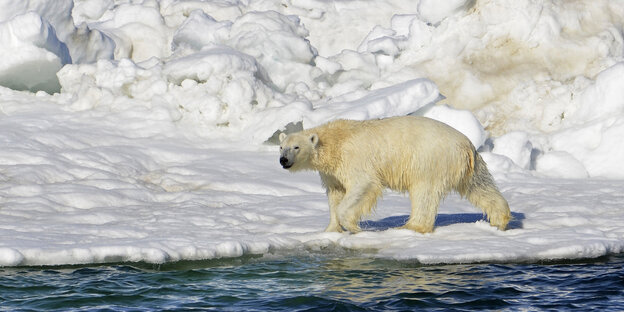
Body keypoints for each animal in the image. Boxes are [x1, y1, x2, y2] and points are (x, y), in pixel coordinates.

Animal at [280, 116, 510, 233]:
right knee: (480, 187)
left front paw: (353, 226)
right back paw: (500, 219)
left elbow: (363, 185)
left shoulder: (354, 159)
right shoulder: (332, 172)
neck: (335, 141)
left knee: (424, 193)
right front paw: (330, 229)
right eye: (281, 147)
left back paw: (411, 226)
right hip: (469, 166)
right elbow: (335, 194)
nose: (283, 160)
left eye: (296, 147)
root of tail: (466, 145)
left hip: (429, 160)